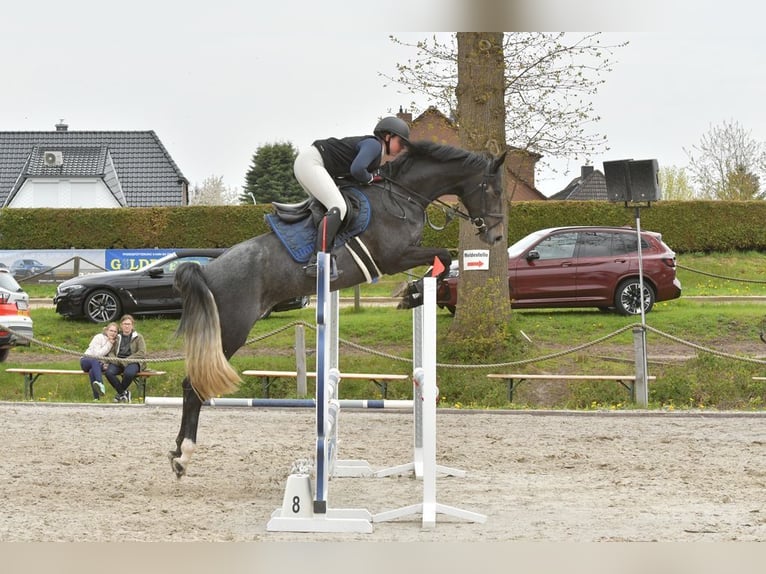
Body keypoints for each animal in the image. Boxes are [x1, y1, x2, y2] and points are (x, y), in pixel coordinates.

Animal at [168, 138, 510, 476]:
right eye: (494, 191)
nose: (496, 237)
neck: (403, 196)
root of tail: (206, 270)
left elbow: (442, 262)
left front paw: (412, 293)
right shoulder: (394, 256)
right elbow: (444, 257)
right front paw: (412, 293)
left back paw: (177, 452)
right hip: (231, 330)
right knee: (192, 386)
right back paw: (183, 456)